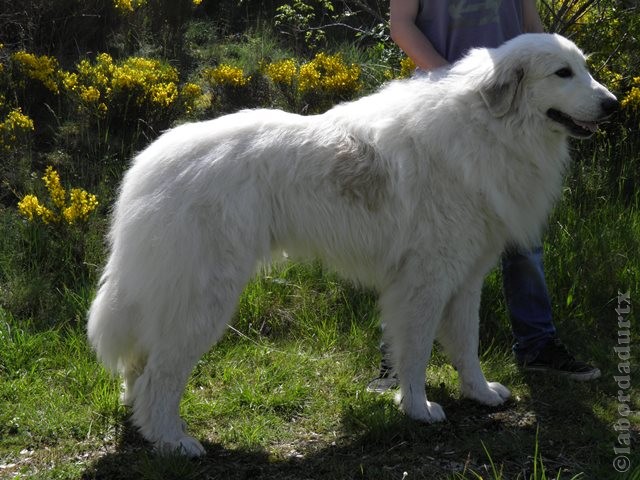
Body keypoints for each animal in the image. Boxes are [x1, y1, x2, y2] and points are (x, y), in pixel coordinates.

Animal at [87, 32, 616, 454]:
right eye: (563, 73)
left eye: (585, 67)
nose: (613, 104)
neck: (489, 129)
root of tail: (149, 163)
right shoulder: (425, 282)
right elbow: (417, 352)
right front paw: (418, 409)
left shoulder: (465, 281)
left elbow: (465, 346)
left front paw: (480, 395)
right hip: (204, 298)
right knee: (161, 376)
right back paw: (173, 441)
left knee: (141, 369)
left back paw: (144, 424)